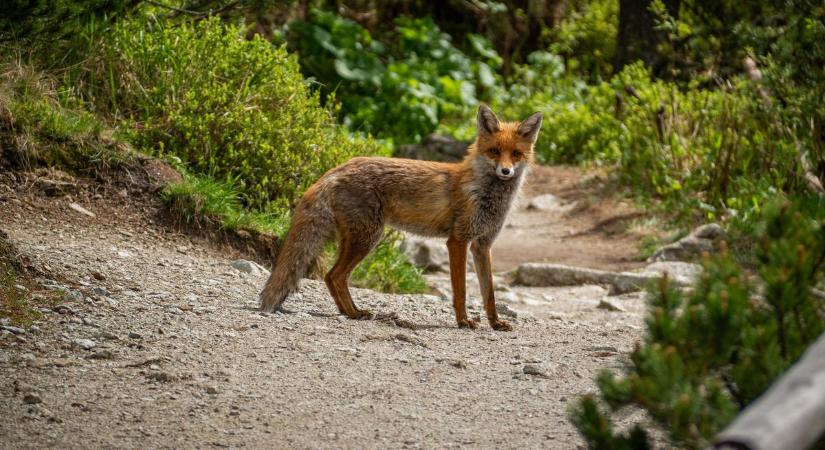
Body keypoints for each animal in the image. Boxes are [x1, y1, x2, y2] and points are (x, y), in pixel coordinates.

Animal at [260, 105, 540, 330]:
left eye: (516, 154)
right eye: (494, 151)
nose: (505, 171)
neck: (485, 194)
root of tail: (337, 168)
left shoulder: (482, 245)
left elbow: (489, 293)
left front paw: (495, 323)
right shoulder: (458, 240)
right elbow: (460, 290)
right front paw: (463, 322)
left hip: (359, 238)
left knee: (332, 277)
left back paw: (350, 311)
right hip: (368, 238)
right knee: (334, 275)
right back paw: (353, 313)